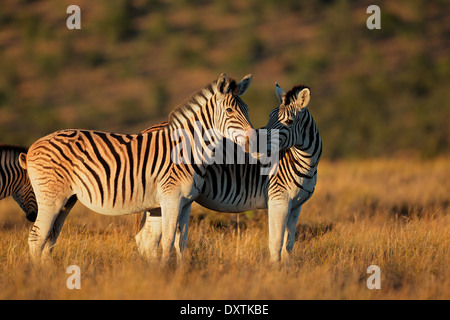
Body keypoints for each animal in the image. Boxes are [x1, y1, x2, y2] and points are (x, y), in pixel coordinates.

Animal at [20, 74, 256, 264]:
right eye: (229, 110)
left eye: (247, 110)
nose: (253, 141)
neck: (189, 149)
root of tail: (32, 148)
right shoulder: (171, 199)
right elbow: (167, 241)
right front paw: (166, 275)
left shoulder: (186, 203)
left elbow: (182, 242)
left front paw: (181, 273)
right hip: (51, 197)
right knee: (36, 238)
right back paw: (38, 276)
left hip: (66, 200)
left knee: (49, 239)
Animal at [135, 82, 322, 262]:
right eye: (270, 117)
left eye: (289, 122)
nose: (257, 144)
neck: (305, 162)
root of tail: (146, 130)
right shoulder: (278, 200)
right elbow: (276, 244)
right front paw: (275, 271)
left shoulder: (296, 206)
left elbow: (288, 246)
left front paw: (286, 271)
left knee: (145, 237)